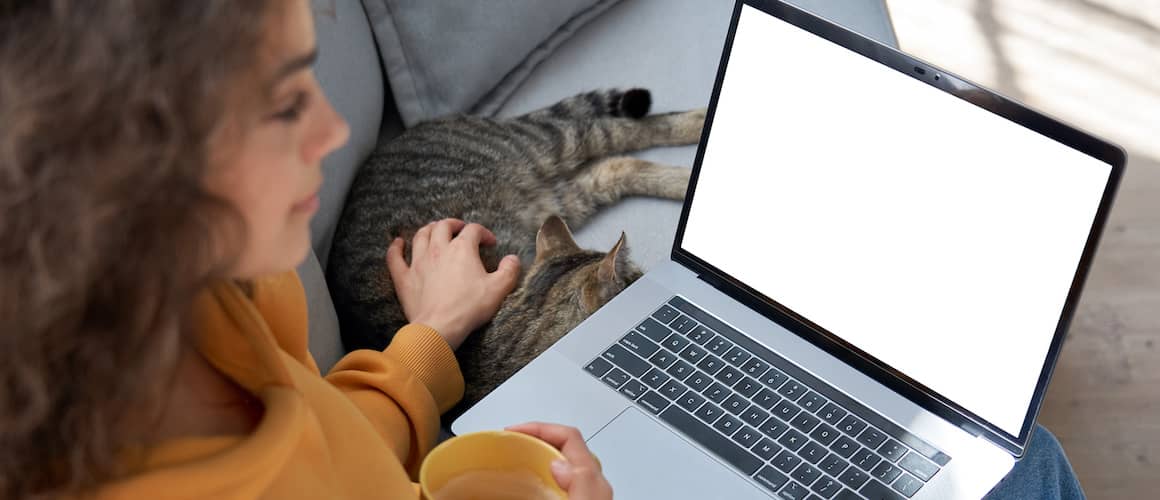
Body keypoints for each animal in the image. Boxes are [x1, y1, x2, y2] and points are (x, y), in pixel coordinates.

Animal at [329, 88, 705, 408]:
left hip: (549, 150)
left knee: (620, 132)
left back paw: (698, 129)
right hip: (563, 189)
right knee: (616, 161)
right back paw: (687, 174)